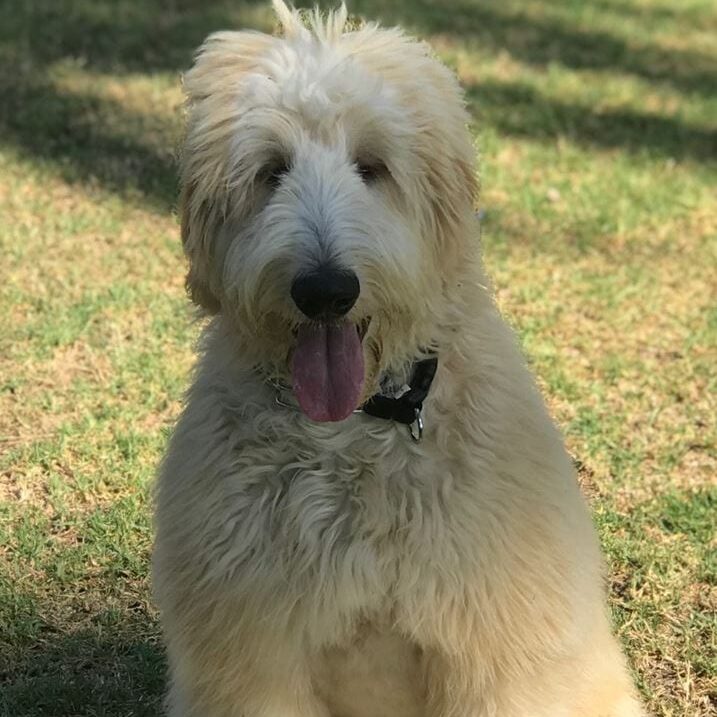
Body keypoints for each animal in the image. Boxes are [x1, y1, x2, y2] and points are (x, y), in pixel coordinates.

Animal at [151, 2, 644, 712]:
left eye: (372, 166)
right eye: (272, 169)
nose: (325, 291)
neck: (355, 430)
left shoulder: (499, 650)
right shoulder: (253, 654)